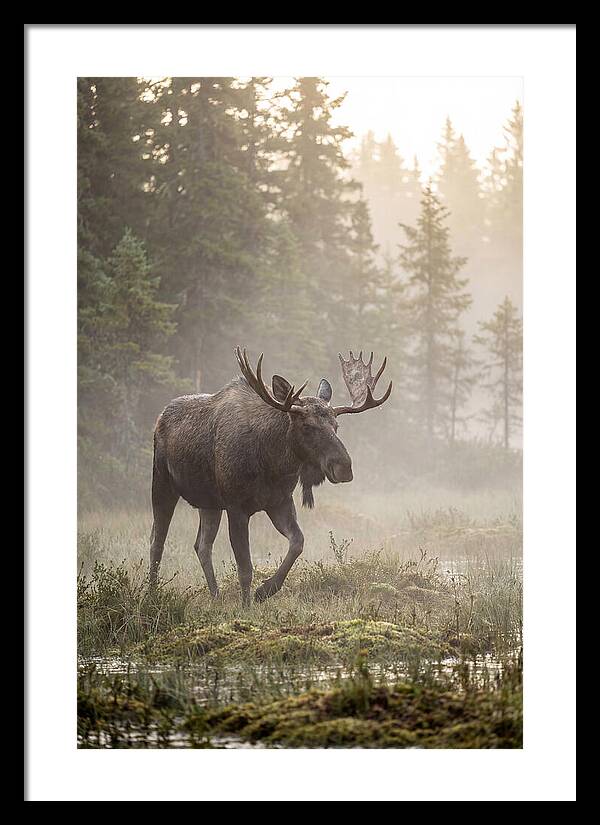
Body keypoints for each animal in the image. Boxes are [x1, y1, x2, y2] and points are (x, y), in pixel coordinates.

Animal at [150, 347, 392, 604]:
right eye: (307, 426)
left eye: (336, 426)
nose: (344, 467)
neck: (272, 464)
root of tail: (160, 417)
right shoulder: (236, 507)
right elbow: (245, 568)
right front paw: (246, 606)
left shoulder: (279, 501)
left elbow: (297, 542)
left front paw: (265, 590)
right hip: (162, 483)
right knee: (157, 540)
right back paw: (152, 593)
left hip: (209, 503)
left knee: (202, 545)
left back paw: (215, 596)